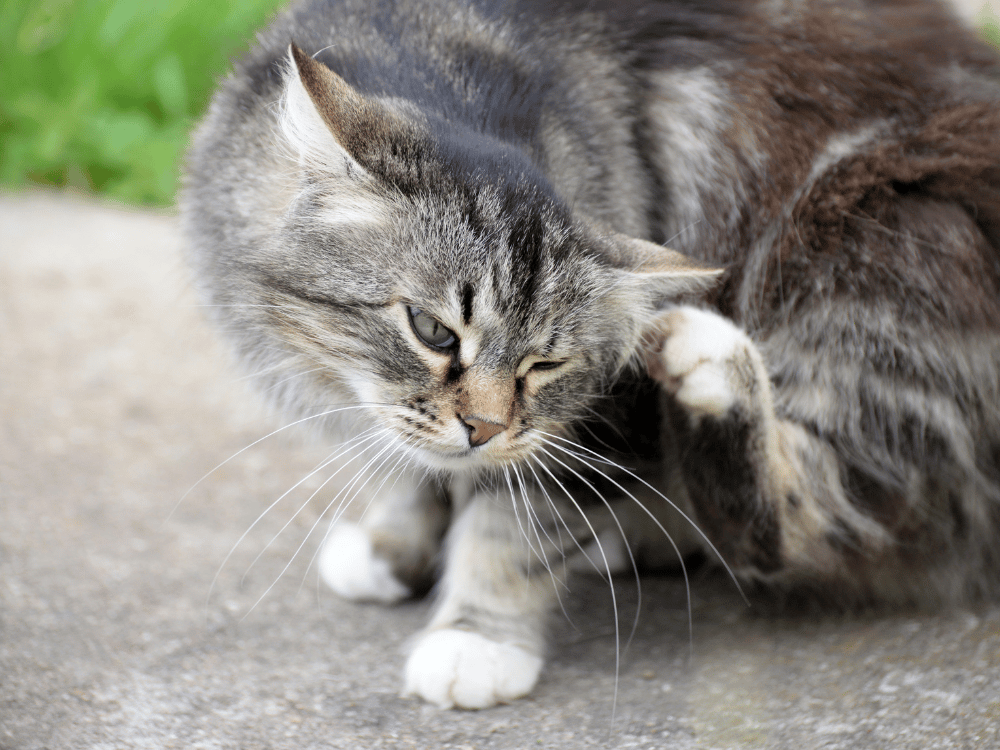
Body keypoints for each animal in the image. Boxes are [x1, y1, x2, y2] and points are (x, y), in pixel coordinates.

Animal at [180, 0, 1000, 712]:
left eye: (544, 365)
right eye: (433, 330)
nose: (485, 429)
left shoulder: (599, 419)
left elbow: (514, 529)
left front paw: (476, 639)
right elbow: (416, 470)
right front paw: (394, 543)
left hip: (885, 265)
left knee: (813, 522)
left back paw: (708, 371)